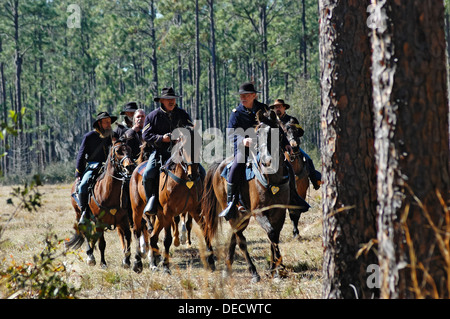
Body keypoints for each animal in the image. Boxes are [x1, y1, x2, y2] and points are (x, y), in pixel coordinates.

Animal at [129, 126, 215, 274]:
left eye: (199, 144)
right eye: (184, 147)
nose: (193, 174)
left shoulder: (195, 210)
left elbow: (205, 231)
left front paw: (211, 261)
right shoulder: (168, 212)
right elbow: (167, 239)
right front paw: (165, 266)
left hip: (159, 215)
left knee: (153, 238)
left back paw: (153, 264)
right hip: (138, 210)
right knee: (137, 231)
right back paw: (137, 262)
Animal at [201, 109, 292, 282]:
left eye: (276, 133)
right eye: (257, 133)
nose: (267, 161)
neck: (271, 179)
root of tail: (219, 166)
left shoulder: (279, 212)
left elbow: (274, 237)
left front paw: (274, 270)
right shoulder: (259, 212)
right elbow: (271, 234)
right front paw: (277, 269)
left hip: (243, 215)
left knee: (234, 236)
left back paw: (227, 269)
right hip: (233, 212)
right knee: (240, 240)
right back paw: (253, 272)